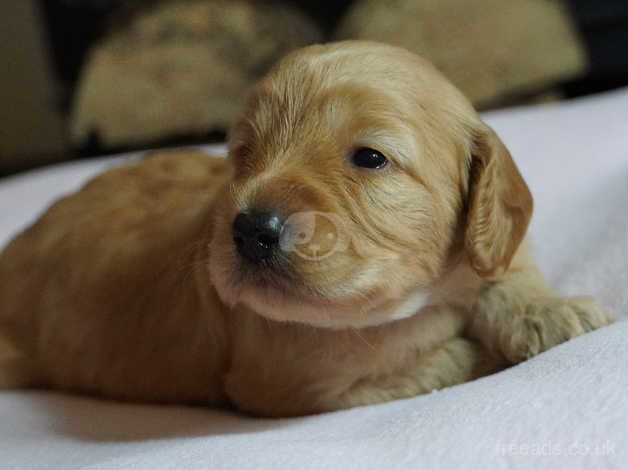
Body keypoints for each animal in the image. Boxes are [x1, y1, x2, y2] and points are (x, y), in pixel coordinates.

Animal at [0, 40, 612, 414]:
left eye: (369, 158)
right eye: (244, 153)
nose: (250, 230)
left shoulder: (495, 247)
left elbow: (504, 275)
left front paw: (554, 312)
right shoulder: (302, 381)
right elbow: (431, 350)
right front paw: (475, 341)